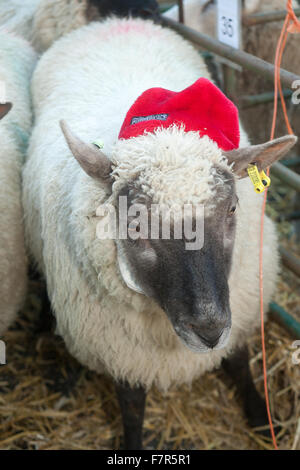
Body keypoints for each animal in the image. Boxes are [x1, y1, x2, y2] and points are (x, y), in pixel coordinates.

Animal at [22, 18, 296, 450]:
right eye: (134, 222)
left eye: (233, 208)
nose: (209, 331)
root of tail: (118, 21)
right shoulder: (120, 352)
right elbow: (132, 406)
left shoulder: (242, 308)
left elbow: (240, 362)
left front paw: (260, 416)